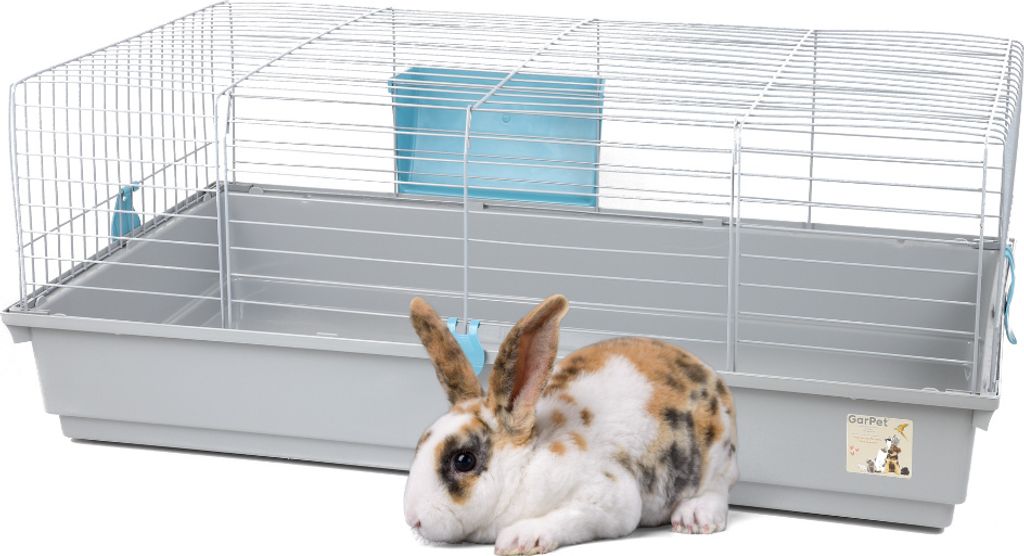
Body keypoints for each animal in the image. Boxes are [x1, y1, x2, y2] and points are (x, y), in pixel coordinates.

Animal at [404, 294, 738, 555]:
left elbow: (567, 518)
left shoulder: (607, 499)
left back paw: (695, 517)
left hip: (717, 459)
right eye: (420, 442)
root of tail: (707, 370)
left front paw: (519, 539)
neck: (525, 464)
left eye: (464, 460)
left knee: (719, 490)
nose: (412, 519)